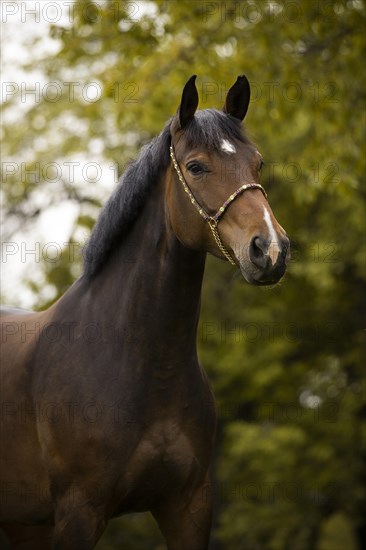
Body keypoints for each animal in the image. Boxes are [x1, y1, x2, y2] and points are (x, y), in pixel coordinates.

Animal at [1, 75, 290, 548]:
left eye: (258, 163)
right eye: (196, 167)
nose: (271, 250)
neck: (144, 363)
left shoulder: (189, 506)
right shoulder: (79, 512)